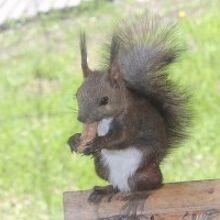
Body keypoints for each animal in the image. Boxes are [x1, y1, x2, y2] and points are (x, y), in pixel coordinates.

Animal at [67, 15, 191, 201]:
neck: (105, 121)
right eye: (77, 95)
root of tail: (125, 186)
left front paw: (98, 142)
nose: (81, 118)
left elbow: (122, 138)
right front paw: (74, 140)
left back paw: (137, 197)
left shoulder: (132, 119)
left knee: (154, 185)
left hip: (141, 173)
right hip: (102, 167)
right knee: (115, 186)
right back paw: (106, 190)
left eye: (105, 100)